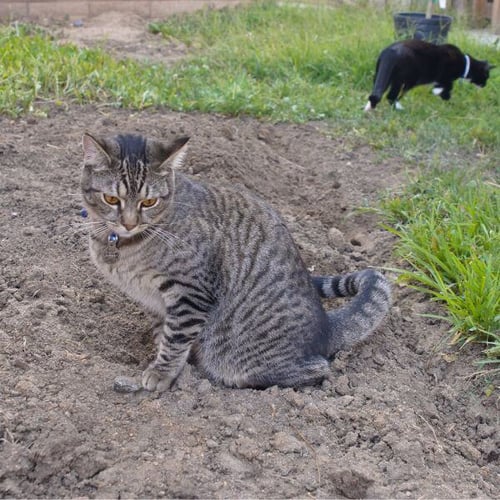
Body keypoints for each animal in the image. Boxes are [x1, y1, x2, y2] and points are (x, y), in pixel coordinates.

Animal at [81, 133, 390, 390]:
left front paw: (162, 372)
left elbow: (175, 338)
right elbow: (163, 333)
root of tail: (326, 328)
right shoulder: (155, 301)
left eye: (149, 202)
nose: (129, 223)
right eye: (111, 199)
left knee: (317, 369)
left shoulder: (190, 292)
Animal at [364, 39, 492, 111]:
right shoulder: (444, 77)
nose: (485, 85)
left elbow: (443, 88)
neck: (464, 63)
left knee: (378, 92)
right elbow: (448, 87)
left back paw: (369, 107)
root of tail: (390, 52)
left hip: (382, 75)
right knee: (391, 96)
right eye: (486, 77)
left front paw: (441, 94)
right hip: (406, 79)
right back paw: (399, 108)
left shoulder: (440, 81)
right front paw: (444, 96)